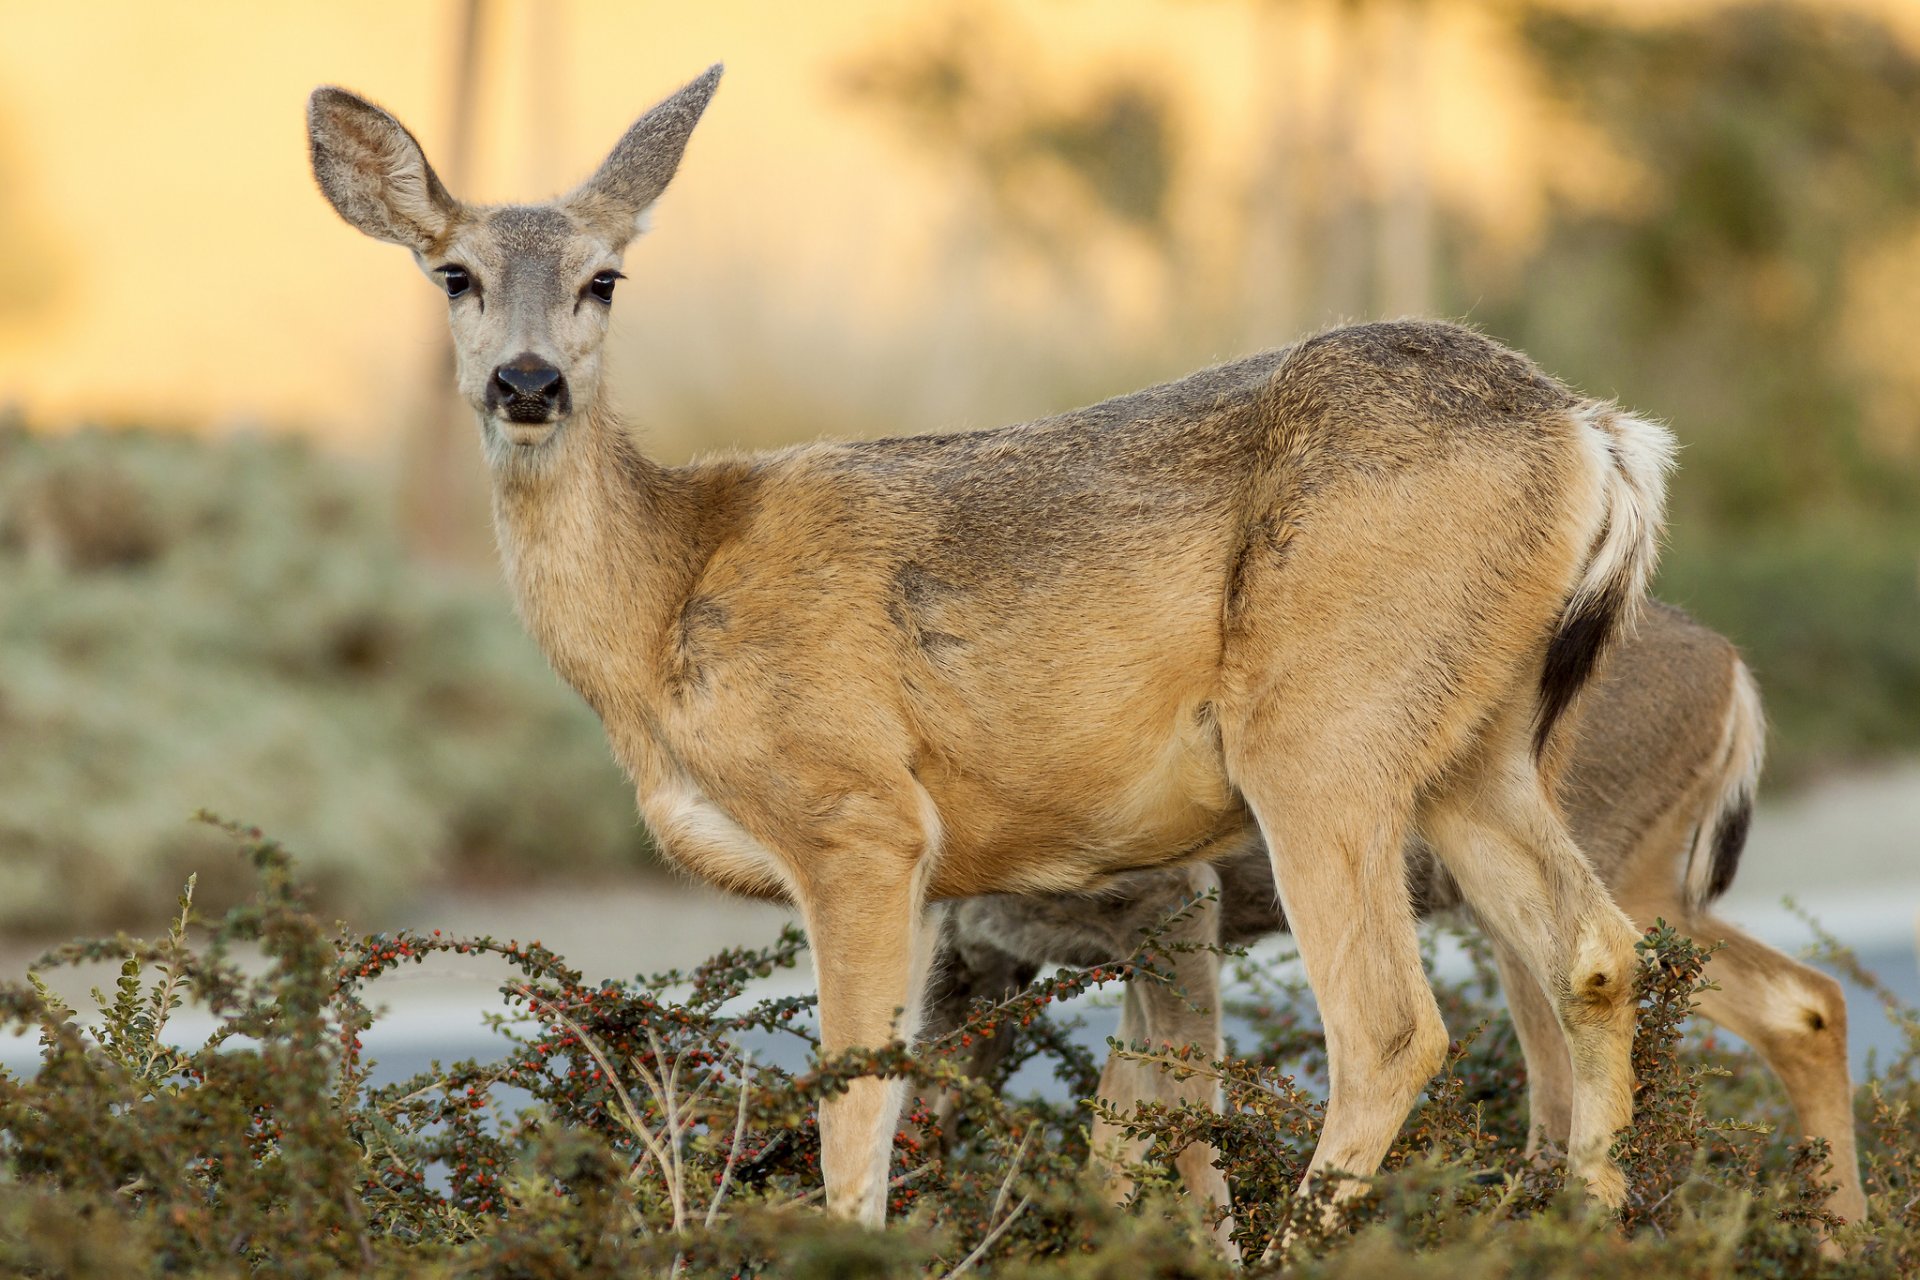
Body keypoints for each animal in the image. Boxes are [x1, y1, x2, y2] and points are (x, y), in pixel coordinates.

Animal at [307, 65, 1674, 1228]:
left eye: (605, 278)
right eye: (455, 275)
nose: (528, 384)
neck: (666, 603)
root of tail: (1594, 432)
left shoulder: (859, 815)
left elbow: (857, 1104)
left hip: (1322, 725)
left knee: (1391, 1023)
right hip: (1477, 741)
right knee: (1597, 953)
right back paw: (1586, 1220)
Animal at [929, 602, 1858, 1251]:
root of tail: (1733, 672)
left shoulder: (1173, 903)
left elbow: (1174, 1128)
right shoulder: (982, 965)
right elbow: (1080, 1138)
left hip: (1589, 867)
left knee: (1569, 1084)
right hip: (1649, 883)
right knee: (1804, 1001)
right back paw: (1842, 1242)